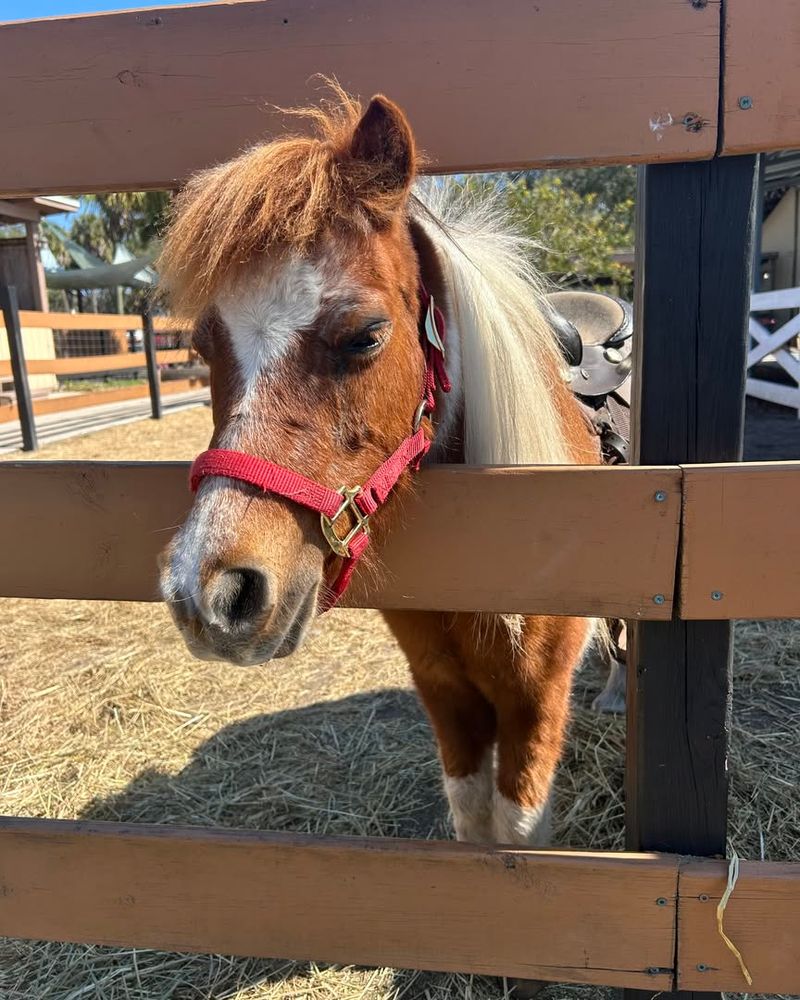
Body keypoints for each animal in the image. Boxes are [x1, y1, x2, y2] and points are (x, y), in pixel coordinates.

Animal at [158, 87, 606, 851]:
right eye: (201, 346)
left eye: (366, 335)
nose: (211, 595)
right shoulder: (445, 693)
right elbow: (471, 819)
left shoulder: (536, 702)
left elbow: (516, 838)